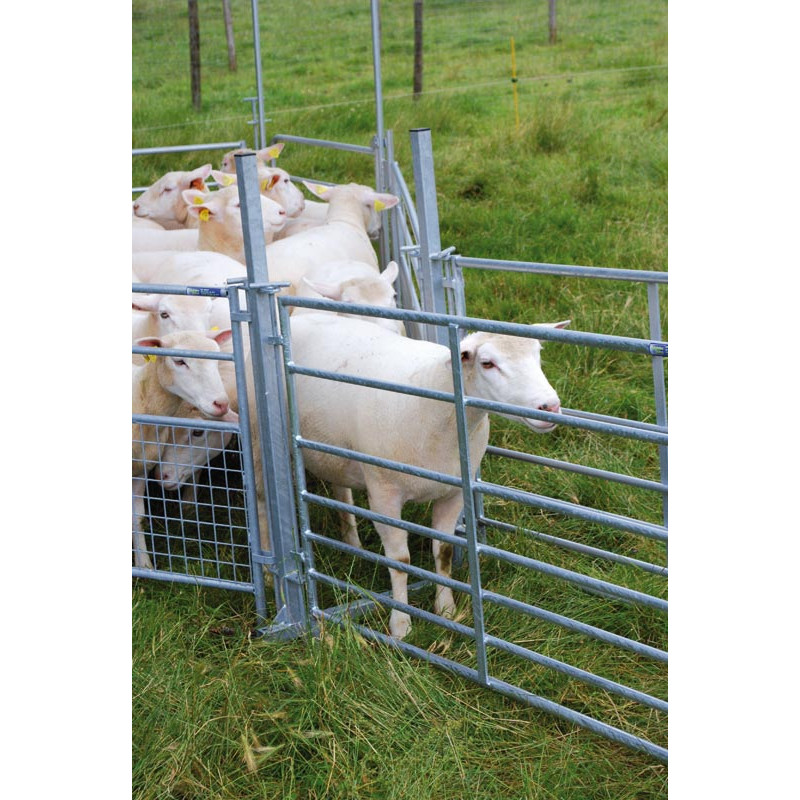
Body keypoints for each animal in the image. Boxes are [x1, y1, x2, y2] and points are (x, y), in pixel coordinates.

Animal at [132, 328, 238, 568]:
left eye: (217, 358)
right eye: (179, 361)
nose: (221, 403)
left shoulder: (141, 470)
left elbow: (137, 516)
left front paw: (144, 564)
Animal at [286, 312, 569, 638]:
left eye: (538, 354)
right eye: (487, 363)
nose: (550, 406)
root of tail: (304, 313)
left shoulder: (454, 493)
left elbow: (443, 551)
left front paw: (446, 610)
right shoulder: (384, 494)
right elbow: (400, 561)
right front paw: (401, 625)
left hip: (334, 451)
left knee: (340, 489)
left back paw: (353, 544)